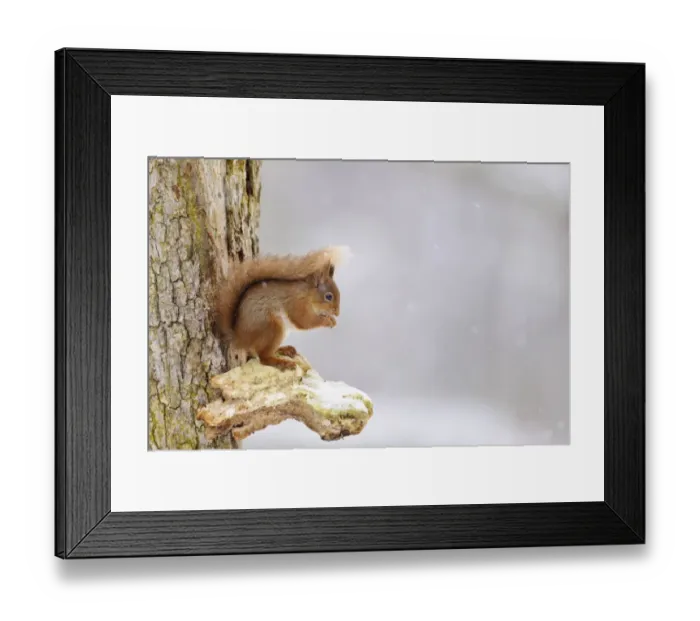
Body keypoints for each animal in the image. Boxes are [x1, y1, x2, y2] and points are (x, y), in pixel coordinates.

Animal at [214, 246, 349, 371]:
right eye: (328, 296)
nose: (337, 313)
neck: (307, 293)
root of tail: (239, 338)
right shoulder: (297, 303)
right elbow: (305, 322)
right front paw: (327, 321)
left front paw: (332, 319)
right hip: (273, 327)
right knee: (263, 357)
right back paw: (282, 362)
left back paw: (284, 349)